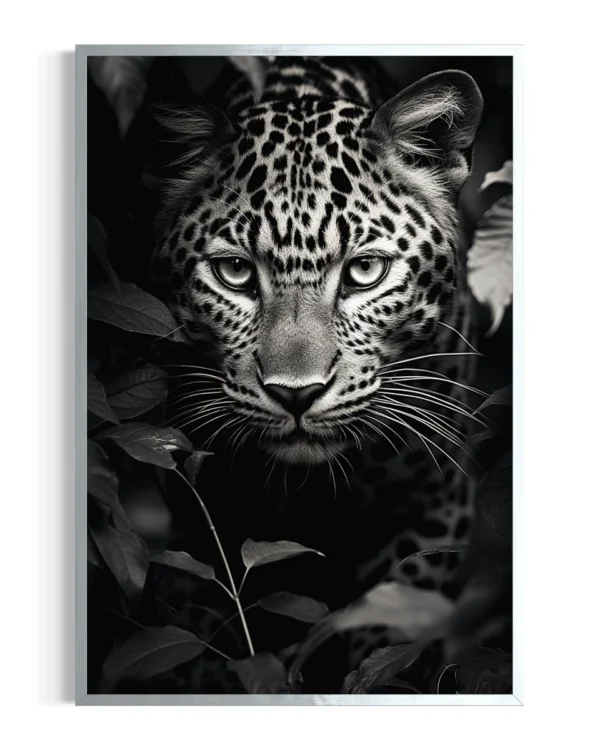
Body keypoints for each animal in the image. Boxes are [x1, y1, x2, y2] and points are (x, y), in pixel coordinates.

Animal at [148, 56, 484, 687]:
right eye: (234, 272)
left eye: (365, 271)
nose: (297, 395)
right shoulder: (202, 518)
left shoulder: (435, 502)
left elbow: (394, 623)